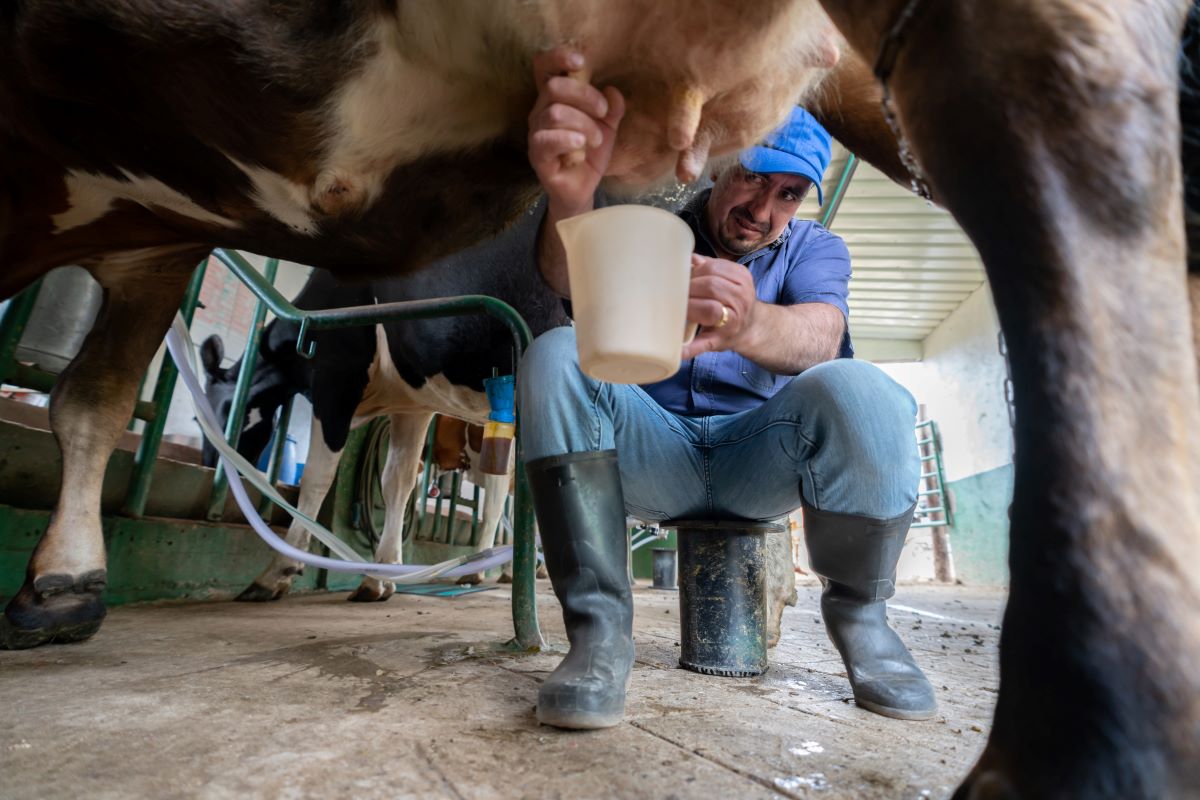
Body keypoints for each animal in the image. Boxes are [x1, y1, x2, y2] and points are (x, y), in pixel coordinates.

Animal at [200, 209, 566, 597]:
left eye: (223, 411)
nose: (211, 464)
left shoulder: (336, 375)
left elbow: (318, 478)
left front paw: (278, 570)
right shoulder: (414, 404)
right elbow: (396, 483)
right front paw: (379, 577)